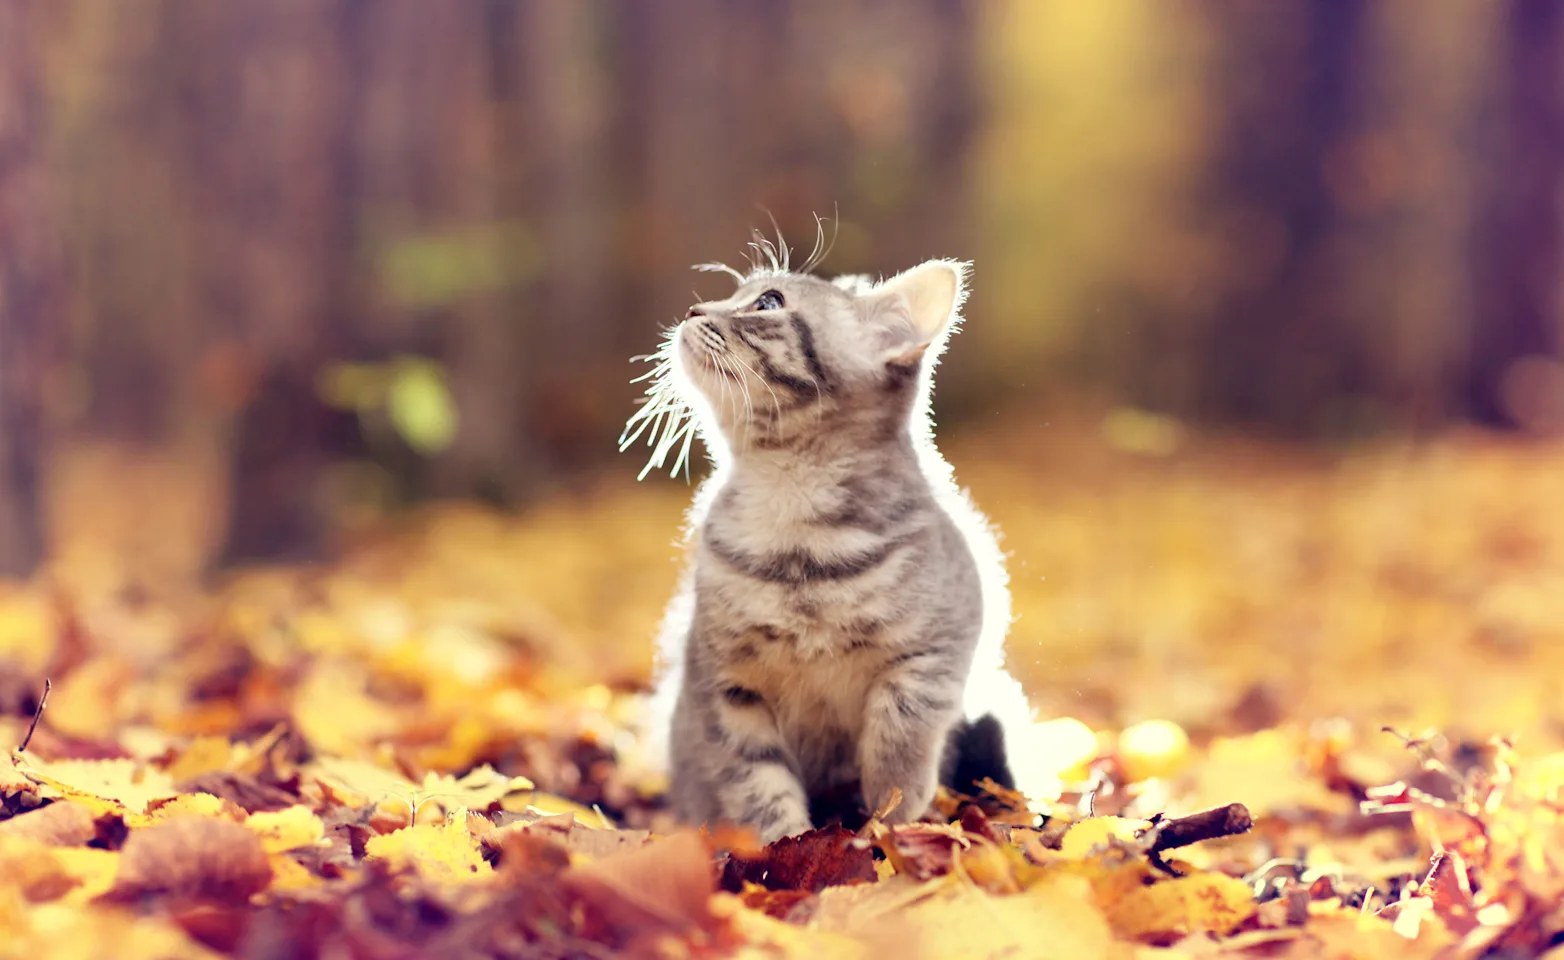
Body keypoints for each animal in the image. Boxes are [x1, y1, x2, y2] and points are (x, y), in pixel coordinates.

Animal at [622, 239, 1051, 844]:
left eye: (768, 302)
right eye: (735, 293)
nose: (693, 310)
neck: (796, 530)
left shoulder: (944, 643)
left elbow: (902, 725)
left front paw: (890, 815)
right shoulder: (723, 688)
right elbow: (756, 783)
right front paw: (783, 847)